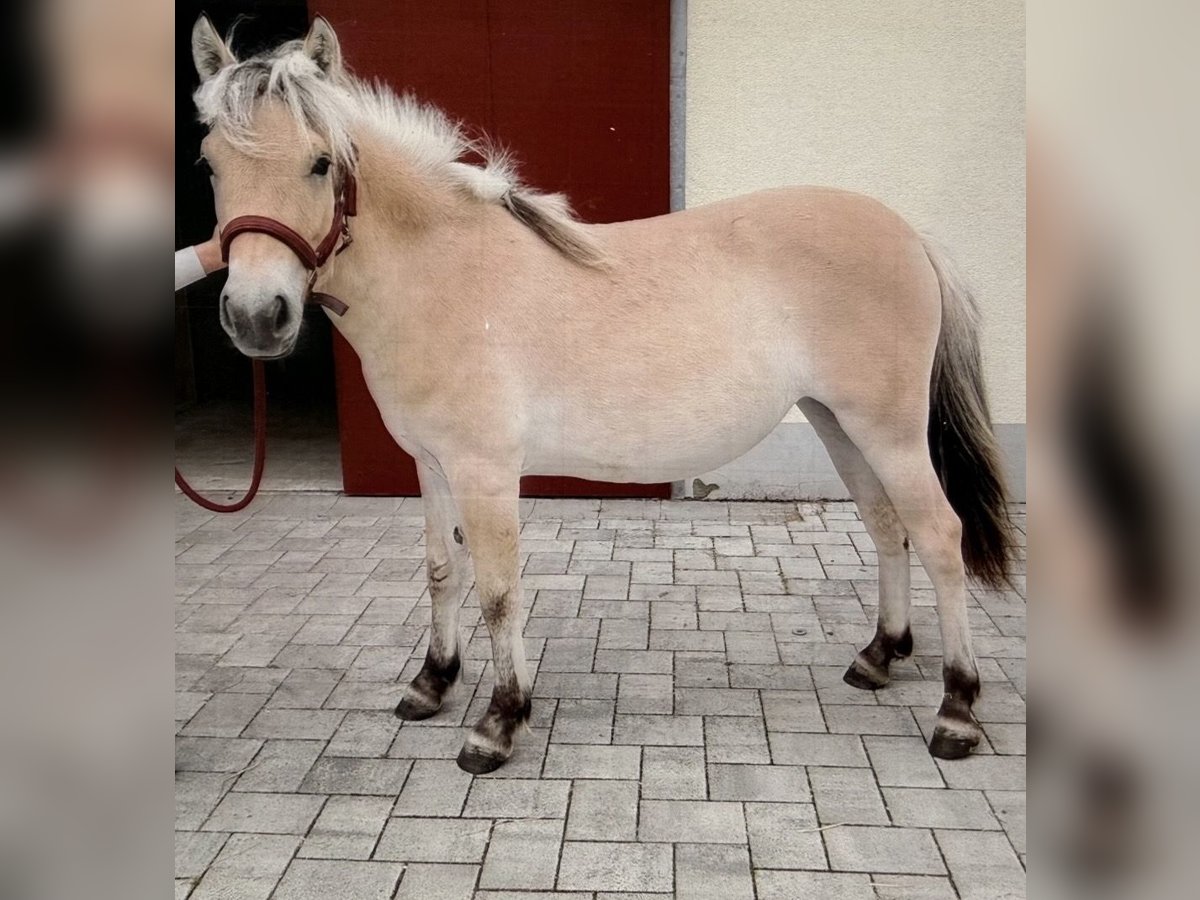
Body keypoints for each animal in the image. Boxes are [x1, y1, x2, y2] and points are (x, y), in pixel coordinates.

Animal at [190, 15, 1014, 774]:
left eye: (320, 164)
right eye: (209, 164)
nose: (256, 317)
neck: (447, 274)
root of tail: (910, 236)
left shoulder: (486, 472)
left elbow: (498, 589)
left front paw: (499, 722)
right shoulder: (430, 463)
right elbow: (441, 570)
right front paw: (432, 684)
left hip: (889, 430)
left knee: (939, 536)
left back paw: (957, 711)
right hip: (839, 423)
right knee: (887, 527)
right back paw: (878, 657)